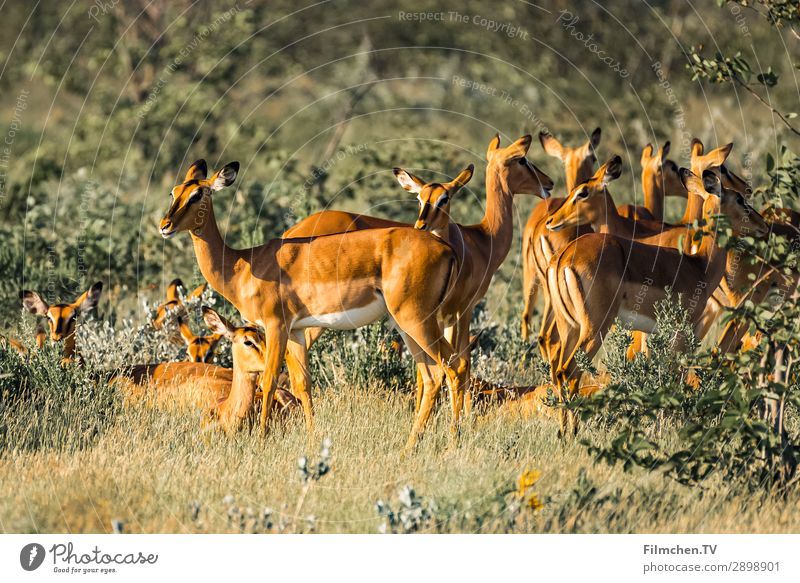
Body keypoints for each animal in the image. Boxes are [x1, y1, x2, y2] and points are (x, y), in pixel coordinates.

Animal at [161, 159, 468, 448]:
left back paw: (452, 444)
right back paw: (410, 447)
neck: (243, 266)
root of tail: (448, 250)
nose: (165, 225)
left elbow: (269, 379)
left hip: (417, 321)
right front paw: (311, 440)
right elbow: (303, 384)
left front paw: (261, 439)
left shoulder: (276, 326)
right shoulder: (296, 330)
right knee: (433, 375)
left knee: (452, 367)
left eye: (198, 194)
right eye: (174, 192)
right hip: (408, 326)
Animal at [284, 135, 552, 418]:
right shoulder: (462, 310)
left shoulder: (444, 317)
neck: (482, 240)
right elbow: (461, 362)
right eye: (522, 159)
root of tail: (292, 234)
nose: (548, 183)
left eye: (444, 198)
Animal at [544, 169, 768, 434]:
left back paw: (562, 432)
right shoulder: (683, 331)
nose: (763, 225)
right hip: (595, 328)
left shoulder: (653, 333)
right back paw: (573, 432)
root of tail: (564, 257)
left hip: (569, 327)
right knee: (570, 371)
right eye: (740, 199)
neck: (699, 265)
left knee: (558, 371)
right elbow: (676, 374)